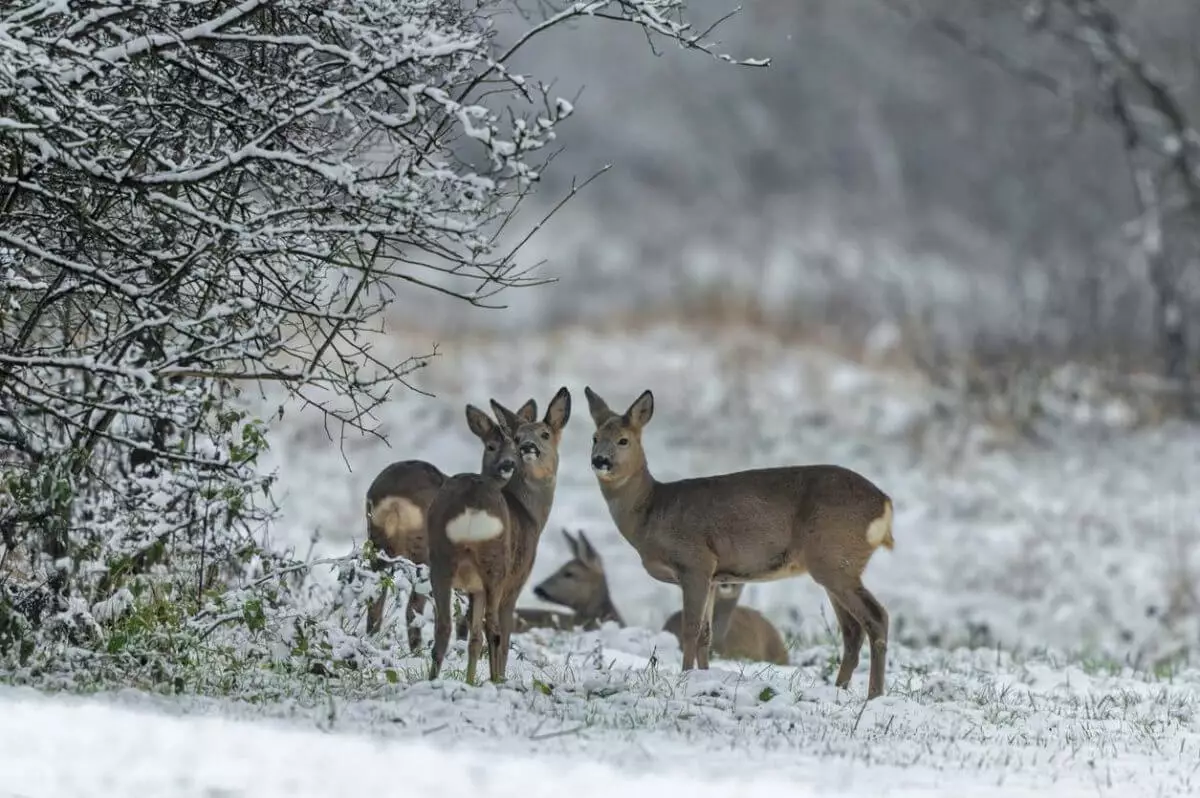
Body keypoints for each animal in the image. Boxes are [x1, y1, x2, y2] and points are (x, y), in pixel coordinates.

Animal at [360, 398, 535, 648]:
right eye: (491, 446)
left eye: (517, 447)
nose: (507, 465)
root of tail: (395, 500)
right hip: (424, 552)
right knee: (413, 608)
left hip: (377, 541)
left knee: (376, 599)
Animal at [427, 388, 571, 681]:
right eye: (518, 437)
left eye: (545, 434)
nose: (527, 447)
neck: (530, 514)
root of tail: (473, 504)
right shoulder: (516, 581)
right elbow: (502, 636)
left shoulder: (474, 588)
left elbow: (473, 639)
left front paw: (470, 682)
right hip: (497, 566)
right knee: (493, 629)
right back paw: (496, 682)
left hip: (441, 559)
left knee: (444, 627)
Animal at [585, 386, 897, 696]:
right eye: (595, 437)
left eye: (623, 440)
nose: (600, 460)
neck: (652, 511)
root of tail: (884, 502)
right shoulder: (713, 577)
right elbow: (706, 634)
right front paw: (704, 676)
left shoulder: (695, 561)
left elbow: (691, 629)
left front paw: (685, 678)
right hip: (835, 565)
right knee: (852, 630)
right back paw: (840, 688)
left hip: (834, 558)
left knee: (876, 617)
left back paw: (874, 694)